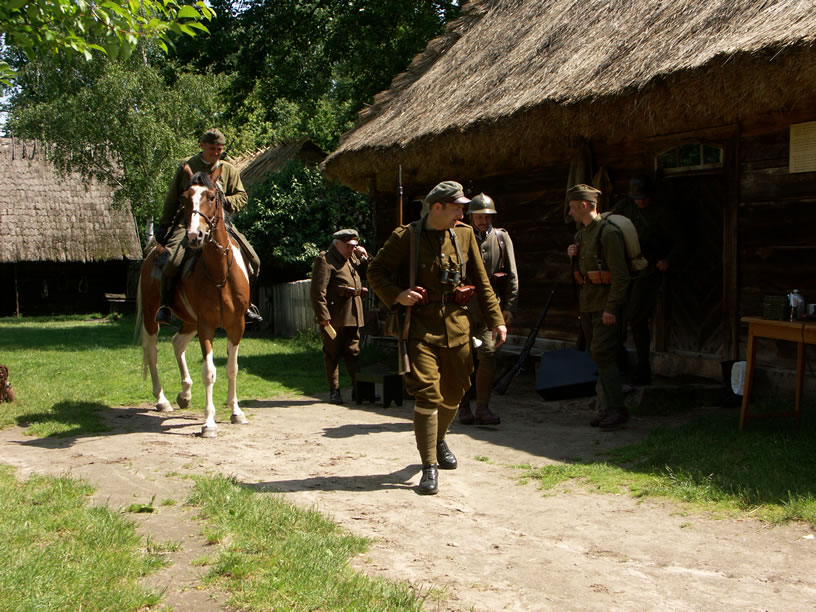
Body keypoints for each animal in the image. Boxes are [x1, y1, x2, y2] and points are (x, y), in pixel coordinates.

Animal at [136, 164, 250, 437]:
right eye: (185, 198)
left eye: (211, 196)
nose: (194, 236)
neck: (220, 273)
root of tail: (152, 253)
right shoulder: (206, 325)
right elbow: (209, 372)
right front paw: (208, 423)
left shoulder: (236, 325)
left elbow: (232, 368)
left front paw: (236, 411)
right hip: (152, 317)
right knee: (153, 352)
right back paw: (162, 400)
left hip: (189, 321)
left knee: (177, 343)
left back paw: (185, 394)